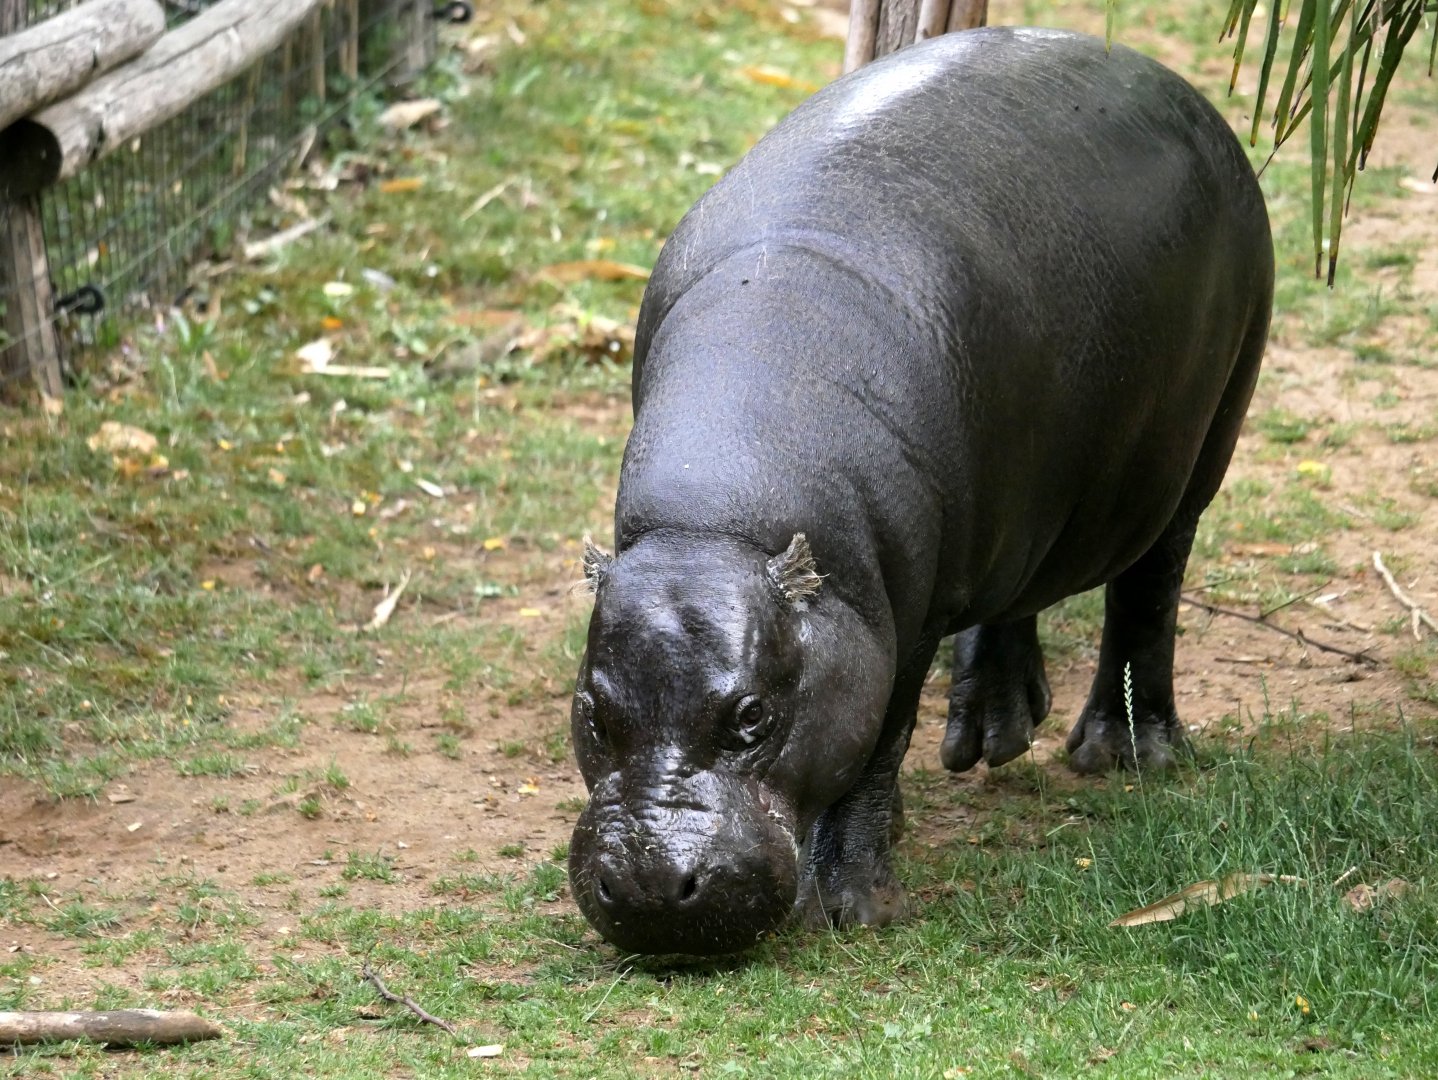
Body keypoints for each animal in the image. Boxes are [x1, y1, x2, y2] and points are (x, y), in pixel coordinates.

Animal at [567, 26, 1273, 955]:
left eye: (752, 715)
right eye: (592, 711)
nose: (652, 893)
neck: (719, 526)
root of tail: (1180, 87)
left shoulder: (901, 625)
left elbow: (876, 745)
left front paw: (851, 907)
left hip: (1200, 445)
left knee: (1151, 586)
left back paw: (1125, 752)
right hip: (1013, 499)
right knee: (1019, 589)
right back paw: (992, 735)